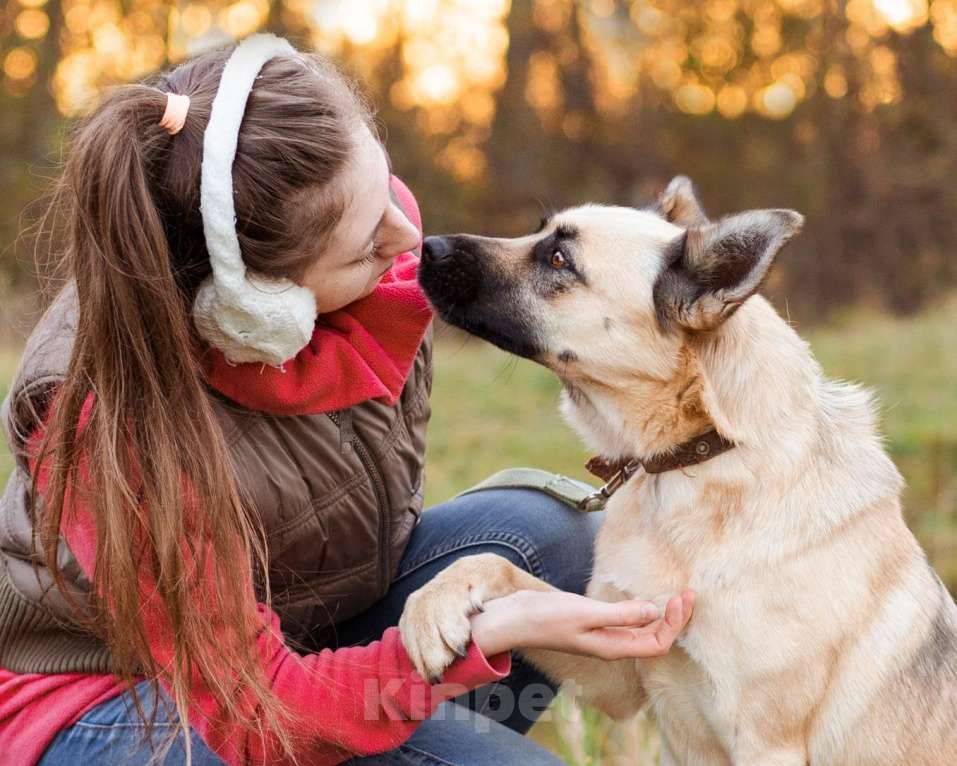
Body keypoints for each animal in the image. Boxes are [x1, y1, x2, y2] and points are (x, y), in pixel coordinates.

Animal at [400, 177, 956, 764]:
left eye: (558, 259)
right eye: (541, 233)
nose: (427, 245)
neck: (696, 459)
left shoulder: (766, 744)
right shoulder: (616, 662)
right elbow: (495, 566)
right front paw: (430, 606)